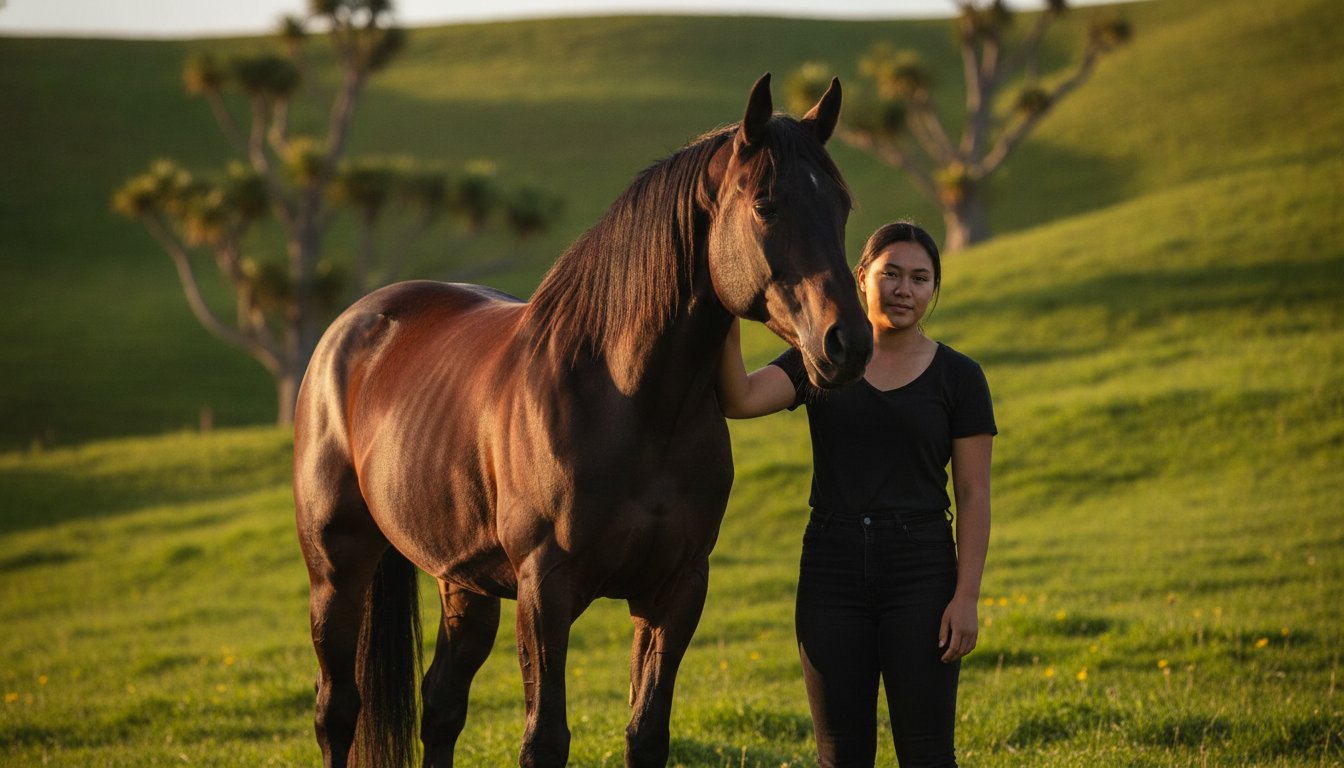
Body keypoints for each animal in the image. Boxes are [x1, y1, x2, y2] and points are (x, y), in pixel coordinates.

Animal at [293, 73, 873, 768]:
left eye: (841, 206)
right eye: (767, 205)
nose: (848, 343)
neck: (629, 404)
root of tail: (353, 326)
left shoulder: (675, 590)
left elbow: (647, 733)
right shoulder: (546, 591)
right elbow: (545, 738)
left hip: (464, 583)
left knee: (441, 705)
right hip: (336, 569)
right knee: (337, 709)